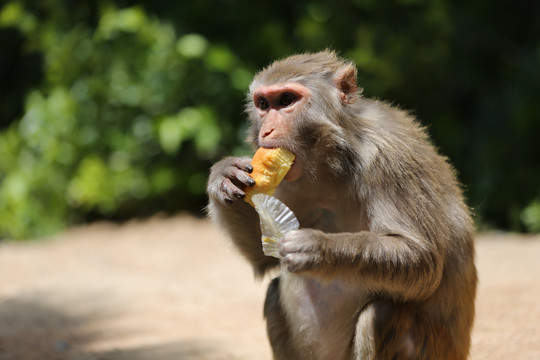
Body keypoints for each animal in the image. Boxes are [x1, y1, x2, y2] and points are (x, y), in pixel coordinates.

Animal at [207, 50, 476, 360]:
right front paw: (223, 174)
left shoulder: (389, 156)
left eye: (286, 100)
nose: (267, 131)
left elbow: (423, 260)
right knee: (274, 292)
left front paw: (318, 249)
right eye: (263, 104)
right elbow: (264, 258)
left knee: (381, 314)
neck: (334, 155)